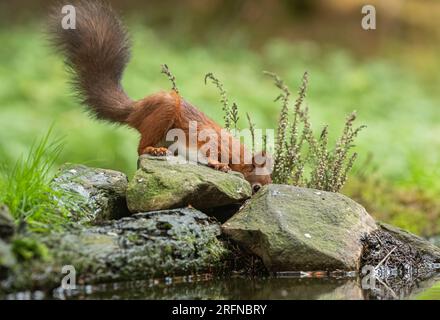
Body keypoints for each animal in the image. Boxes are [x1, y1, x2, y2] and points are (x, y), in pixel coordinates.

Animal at [47, 0, 268, 192]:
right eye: (258, 185)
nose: (256, 193)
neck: (235, 151)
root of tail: (135, 111)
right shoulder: (208, 138)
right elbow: (208, 150)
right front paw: (218, 164)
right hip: (164, 111)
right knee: (140, 148)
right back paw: (153, 150)